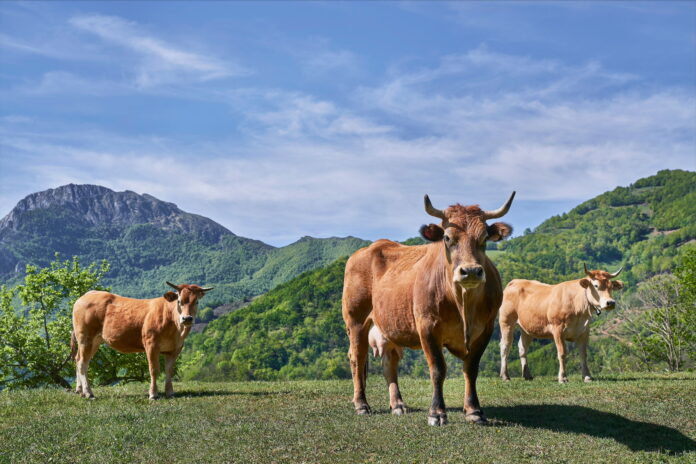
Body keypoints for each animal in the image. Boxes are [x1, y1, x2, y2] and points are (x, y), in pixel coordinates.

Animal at [71, 282, 212, 399]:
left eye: (197, 302)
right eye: (179, 301)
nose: (187, 318)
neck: (176, 329)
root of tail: (86, 295)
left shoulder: (176, 348)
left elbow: (169, 371)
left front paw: (170, 392)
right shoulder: (151, 344)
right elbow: (154, 369)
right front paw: (153, 394)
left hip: (95, 340)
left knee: (79, 360)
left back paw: (80, 390)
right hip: (85, 338)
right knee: (82, 363)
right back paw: (88, 393)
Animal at [342, 192, 515, 426]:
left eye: (484, 238)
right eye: (447, 238)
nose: (470, 271)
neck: (463, 303)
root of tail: (370, 247)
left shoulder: (485, 329)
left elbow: (471, 369)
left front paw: (474, 411)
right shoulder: (427, 327)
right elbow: (438, 369)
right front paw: (437, 413)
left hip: (388, 325)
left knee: (389, 363)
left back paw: (398, 405)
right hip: (356, 321)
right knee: (357, 359)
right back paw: (361, 404)